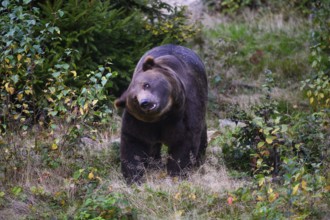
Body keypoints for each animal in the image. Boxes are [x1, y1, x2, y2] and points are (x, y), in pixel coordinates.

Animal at [116, 43, 208, 183]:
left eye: (146, 85)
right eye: (134, 99)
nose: (145, 102)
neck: (164, 116)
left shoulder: (185, 111)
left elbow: (185, 142)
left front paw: (176, 173)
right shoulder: (138, 122)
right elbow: (134, 143)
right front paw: (134, 176)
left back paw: (199, 161)